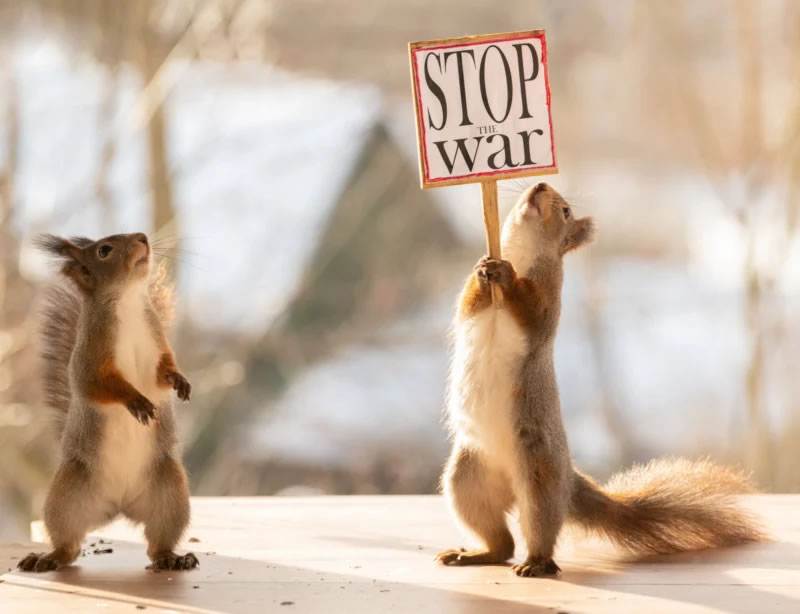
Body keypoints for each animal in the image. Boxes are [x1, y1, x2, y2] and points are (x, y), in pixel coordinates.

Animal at [19, 233, 198, 576]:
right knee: (68, 545)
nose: (143, 237)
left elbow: (164, 372)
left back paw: (173, 558)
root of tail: (119, 506)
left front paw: (180, 380)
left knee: (157, 543)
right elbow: (99, 386)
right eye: (104, 250)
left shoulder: (157, 344)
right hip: (68, 496)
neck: (127, 301)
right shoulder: (89, 359)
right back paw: (48, 557)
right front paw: (135, 401)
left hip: (170, 494)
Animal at [438, 183, 764, 576]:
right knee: (501, 542)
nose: (540, 185)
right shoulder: (469, 306)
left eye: (565, 211)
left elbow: (532, 311)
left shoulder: (549, 301)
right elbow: (467, 303)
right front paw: (484, 270)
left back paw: (536, 563)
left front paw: (505, 275)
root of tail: (567, 481)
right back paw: (475, 554)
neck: (521, 252)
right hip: (468, 480)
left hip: (538, 475)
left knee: (537, 529)